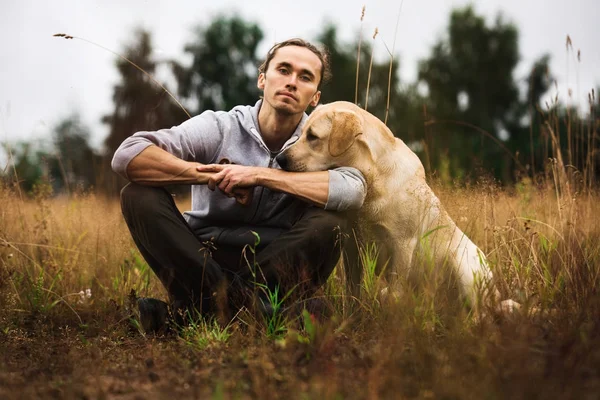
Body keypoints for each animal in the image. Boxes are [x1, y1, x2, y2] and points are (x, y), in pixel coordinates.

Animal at [276, 101, 496, 308]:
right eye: (302, 134)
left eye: (313, 136)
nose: (279, 158)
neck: (373, 178)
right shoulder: (352, 244)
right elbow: (353, 287)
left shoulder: (403, 244)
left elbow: (396, 291)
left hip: (464, 266)